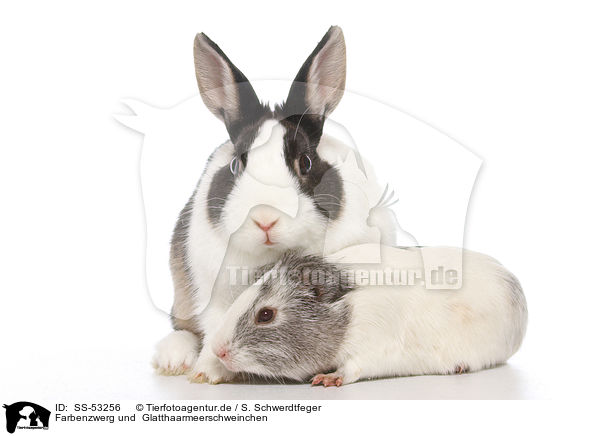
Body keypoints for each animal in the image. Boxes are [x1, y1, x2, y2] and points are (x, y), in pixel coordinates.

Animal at [152, 25, 400, 384]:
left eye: (306, 163)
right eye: (236, 165)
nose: (266, 220)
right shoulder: (215, 296)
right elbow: (215, 332)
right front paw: (207, 372)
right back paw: (173, 358)